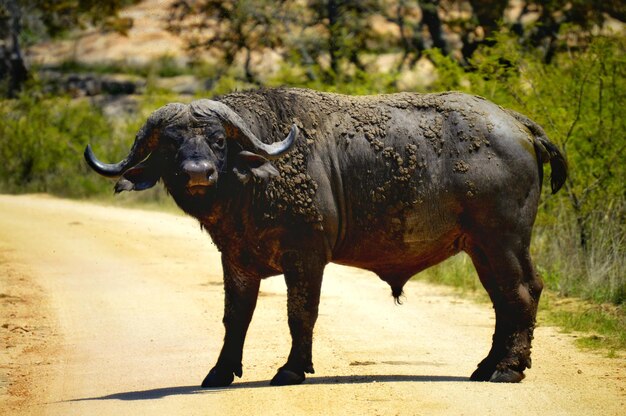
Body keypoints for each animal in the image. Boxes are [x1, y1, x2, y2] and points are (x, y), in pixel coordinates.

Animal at [84, 87, 564, 386]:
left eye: (218, 140)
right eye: (171, 143)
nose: (198, 173)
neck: (254, 181)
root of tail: (516, 122)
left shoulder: (306, 256)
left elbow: (300, 314)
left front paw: (292, 369)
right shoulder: (236, 260)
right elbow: (235, 319)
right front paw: (219, 372)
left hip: (503, 240)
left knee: (523, 291)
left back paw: (508, 369)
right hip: (481, 247)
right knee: (504, 299)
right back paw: (488, 365)